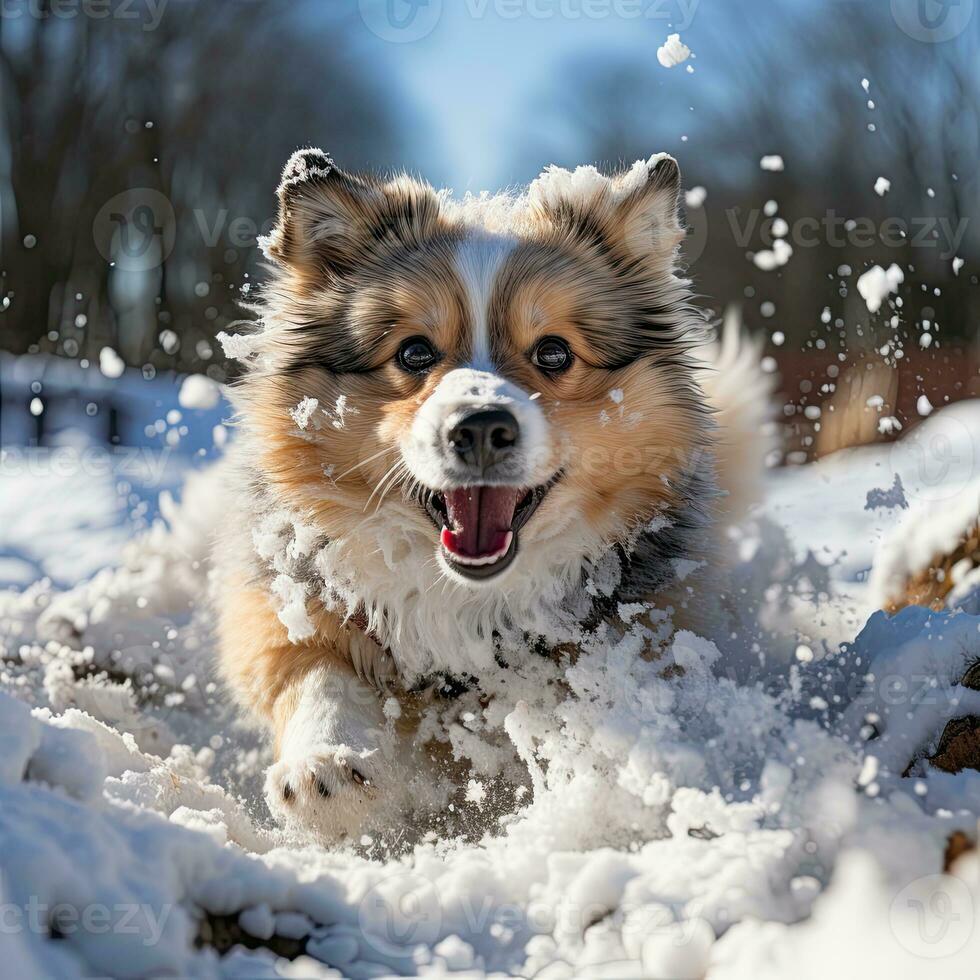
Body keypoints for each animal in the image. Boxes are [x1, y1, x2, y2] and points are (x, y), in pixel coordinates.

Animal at [214, 147, 772, 844]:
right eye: (414, 351)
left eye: (554, 351)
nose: (480, 427)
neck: (469, 605)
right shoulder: (282, 598)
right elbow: (311, 671)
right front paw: (329, 769)